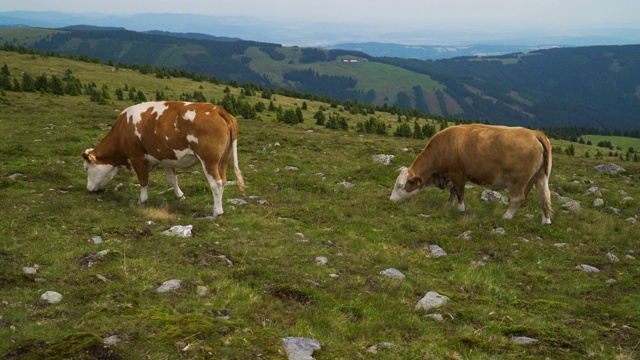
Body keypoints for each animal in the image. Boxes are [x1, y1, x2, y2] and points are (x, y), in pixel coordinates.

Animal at [82, 101, 245, 219]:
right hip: (223, 160)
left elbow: (143, 180)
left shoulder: (137, 156)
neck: (122, 130)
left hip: (209, 160)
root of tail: (218, 109)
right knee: (223, 181)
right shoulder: (166, 158)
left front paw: (142, 200)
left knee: (216, 184)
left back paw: (218, 212)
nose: (88, 188)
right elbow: (172, 179)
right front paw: (180, 196)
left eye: (86, 168)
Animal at [388, 124, 552, 225]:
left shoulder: (457, 173)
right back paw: (546, 221)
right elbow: (453, 191)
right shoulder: (454, 176)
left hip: (517, 180)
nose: (391, 200)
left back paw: (506, 216)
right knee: (544, 196)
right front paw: (449, 204)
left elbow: (459, 192)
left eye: (401, 185)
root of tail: (534, 133)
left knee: (518, 198)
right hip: (541, 177)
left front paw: (460, 209)